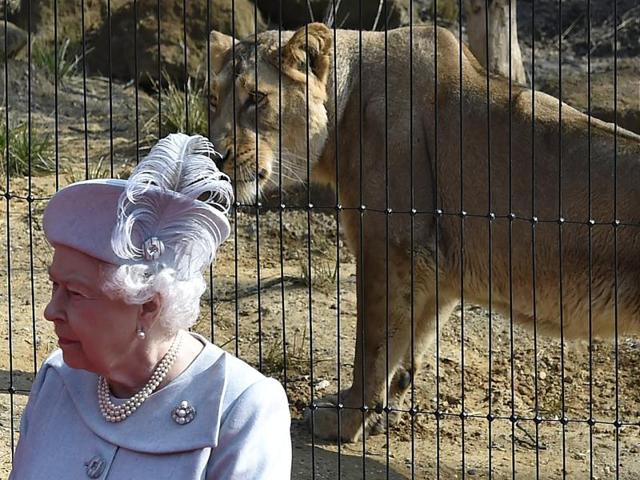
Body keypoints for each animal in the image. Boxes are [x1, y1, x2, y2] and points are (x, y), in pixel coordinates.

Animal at [208, 23, 640, 443]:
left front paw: (345, 421)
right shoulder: (437, 265)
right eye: (212, 100)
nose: (216, 155)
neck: (344, 113)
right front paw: (382, 413)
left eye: (256, 98)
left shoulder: (390, 249)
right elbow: (410, 346)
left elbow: (372, 347)